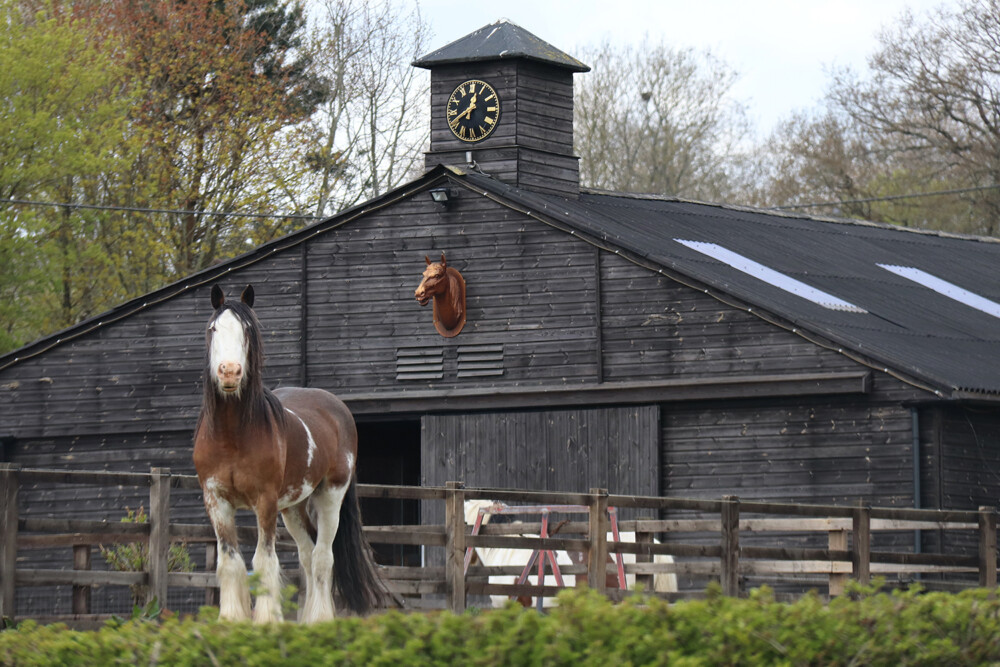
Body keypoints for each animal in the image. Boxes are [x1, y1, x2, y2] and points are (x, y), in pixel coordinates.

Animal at [193, 284, 387, 623]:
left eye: (247, 330)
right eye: (213, 329)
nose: (229, 372)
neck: (232, 436)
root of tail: (338, 410)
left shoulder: (265, 500)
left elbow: (263, 560)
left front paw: (267, 620)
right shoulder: (216, 500)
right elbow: (230, 561)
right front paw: (231, 619)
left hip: (330, 496)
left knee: (323, 556)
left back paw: (320, 618)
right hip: (293, 507)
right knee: (307, 554)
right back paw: (306, 619)